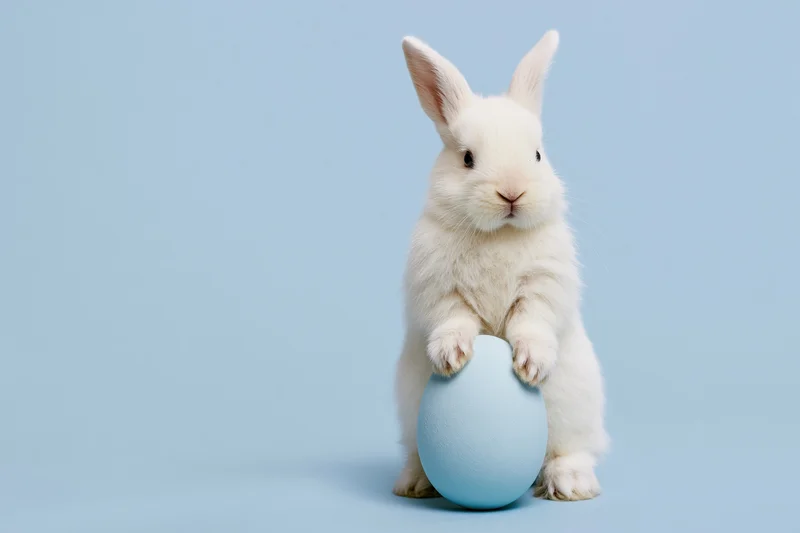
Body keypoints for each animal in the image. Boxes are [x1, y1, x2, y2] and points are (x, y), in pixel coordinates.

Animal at [392, 29, 610, 502]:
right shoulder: (437, 289)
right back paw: (415, 483)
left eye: (538, 155)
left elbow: (532, 320)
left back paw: (572, 485)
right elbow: (452, 317)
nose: (512, 192)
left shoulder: (544, 284)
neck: (499, 233)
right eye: (468, 158)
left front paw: (530, 364)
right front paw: (452, 356)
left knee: (571, 449)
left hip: (575, 407)